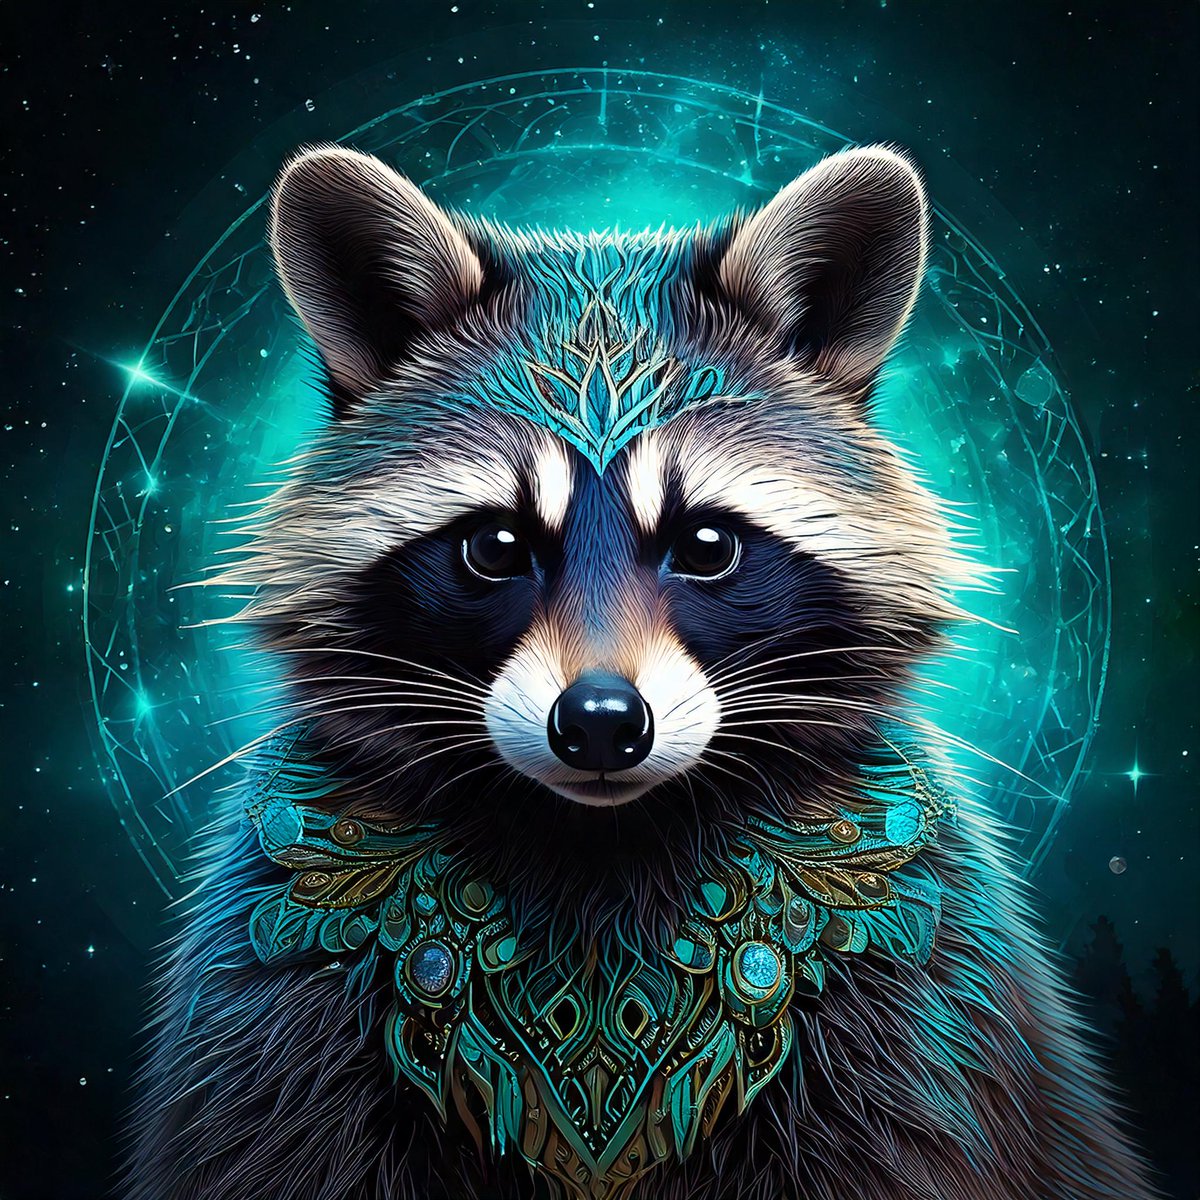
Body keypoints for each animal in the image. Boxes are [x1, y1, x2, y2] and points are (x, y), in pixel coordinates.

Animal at [124, 145, 1157, 1200]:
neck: (601, 848)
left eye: (705, 544)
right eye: (495, 546)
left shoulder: (919, 998)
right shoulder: (279, 998)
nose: (601, 721)